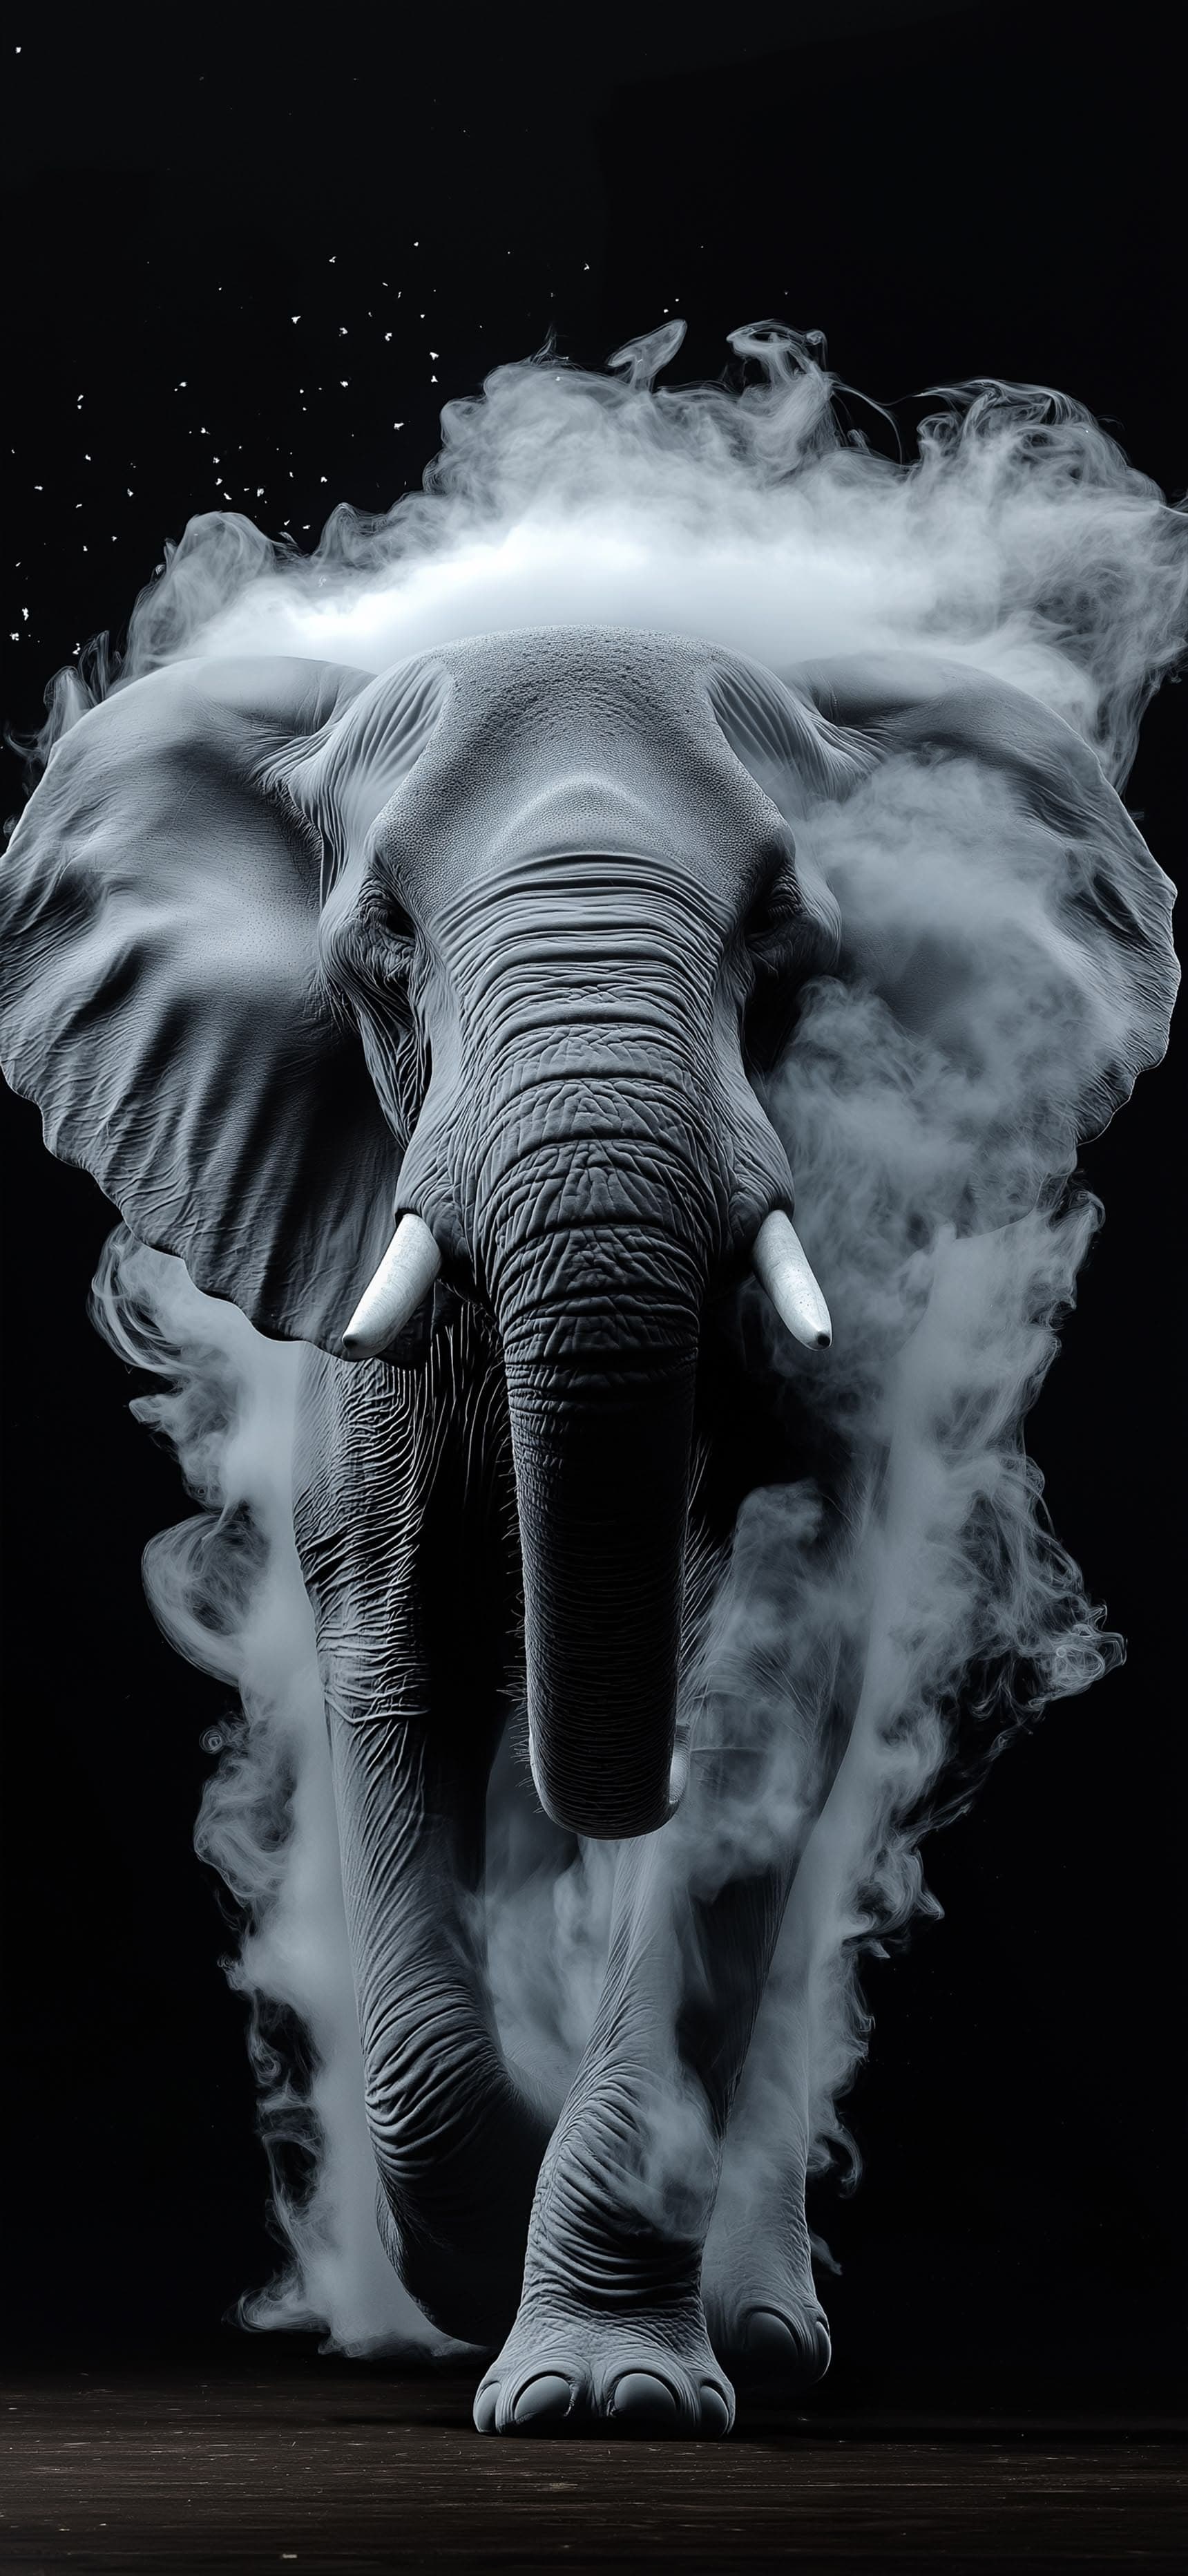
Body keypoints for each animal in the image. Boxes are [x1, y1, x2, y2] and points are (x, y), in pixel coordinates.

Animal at [0, 621, 1175, 2437]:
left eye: (780, 935)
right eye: (384, 947)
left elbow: (759, 1692)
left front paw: (600, 2392)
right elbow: (395, 1661)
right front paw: (499, 2272)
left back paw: (759, 2329)